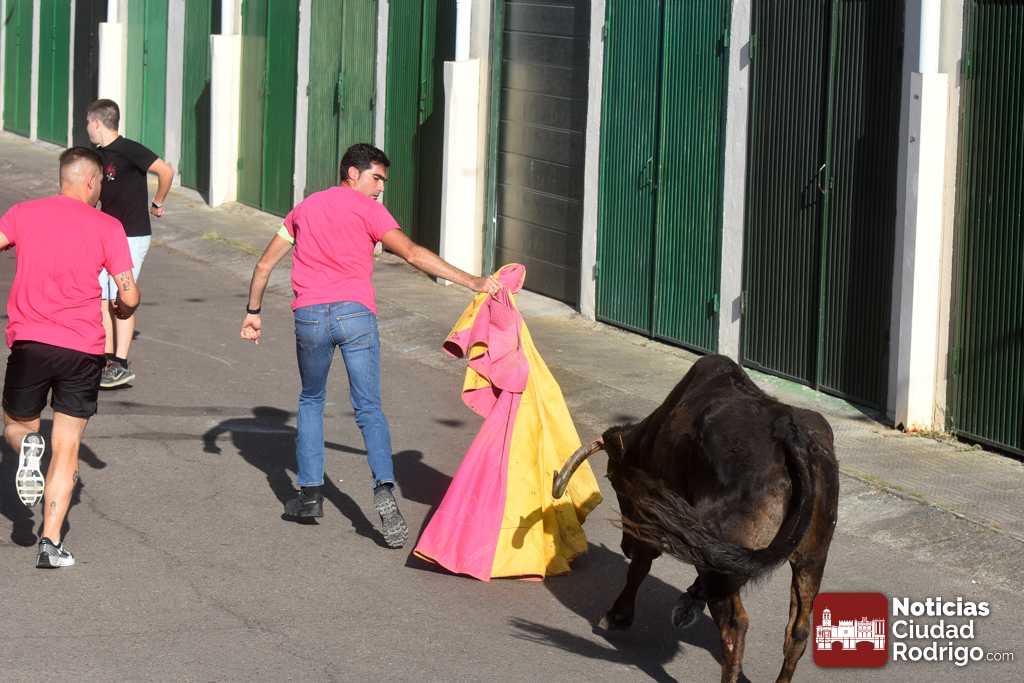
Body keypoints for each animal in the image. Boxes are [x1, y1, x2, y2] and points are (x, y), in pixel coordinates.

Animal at [552, 355, 839, 683]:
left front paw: (618, 615)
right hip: (812, 558)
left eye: (614, 480)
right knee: (798, 631)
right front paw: (688, 601)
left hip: (725, 566)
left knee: (735, 626)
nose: (625, 547)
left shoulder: (658, 517)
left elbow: (639, 567)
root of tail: (791, 437)